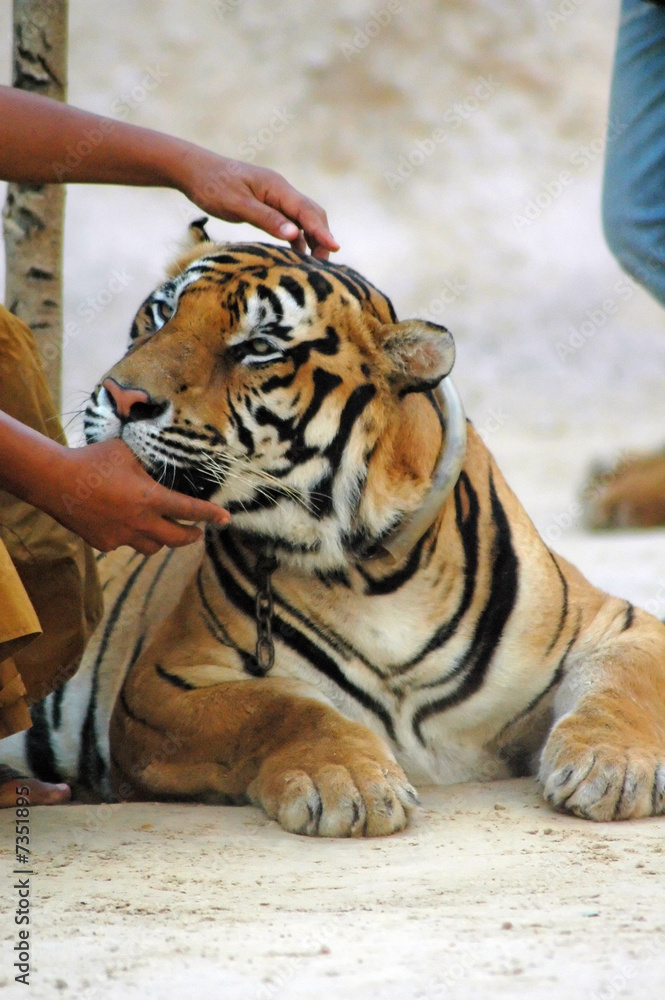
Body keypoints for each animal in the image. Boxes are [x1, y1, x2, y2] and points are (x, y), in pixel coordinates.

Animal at [4, 221, 665, 837]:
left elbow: (623, 681)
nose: (120, 397)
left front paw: (610, 768)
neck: (376, 571)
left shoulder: (616, 621)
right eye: (163, 312)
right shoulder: (166, 681)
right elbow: (279, 709)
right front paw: (347, 782)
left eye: (258, 346)